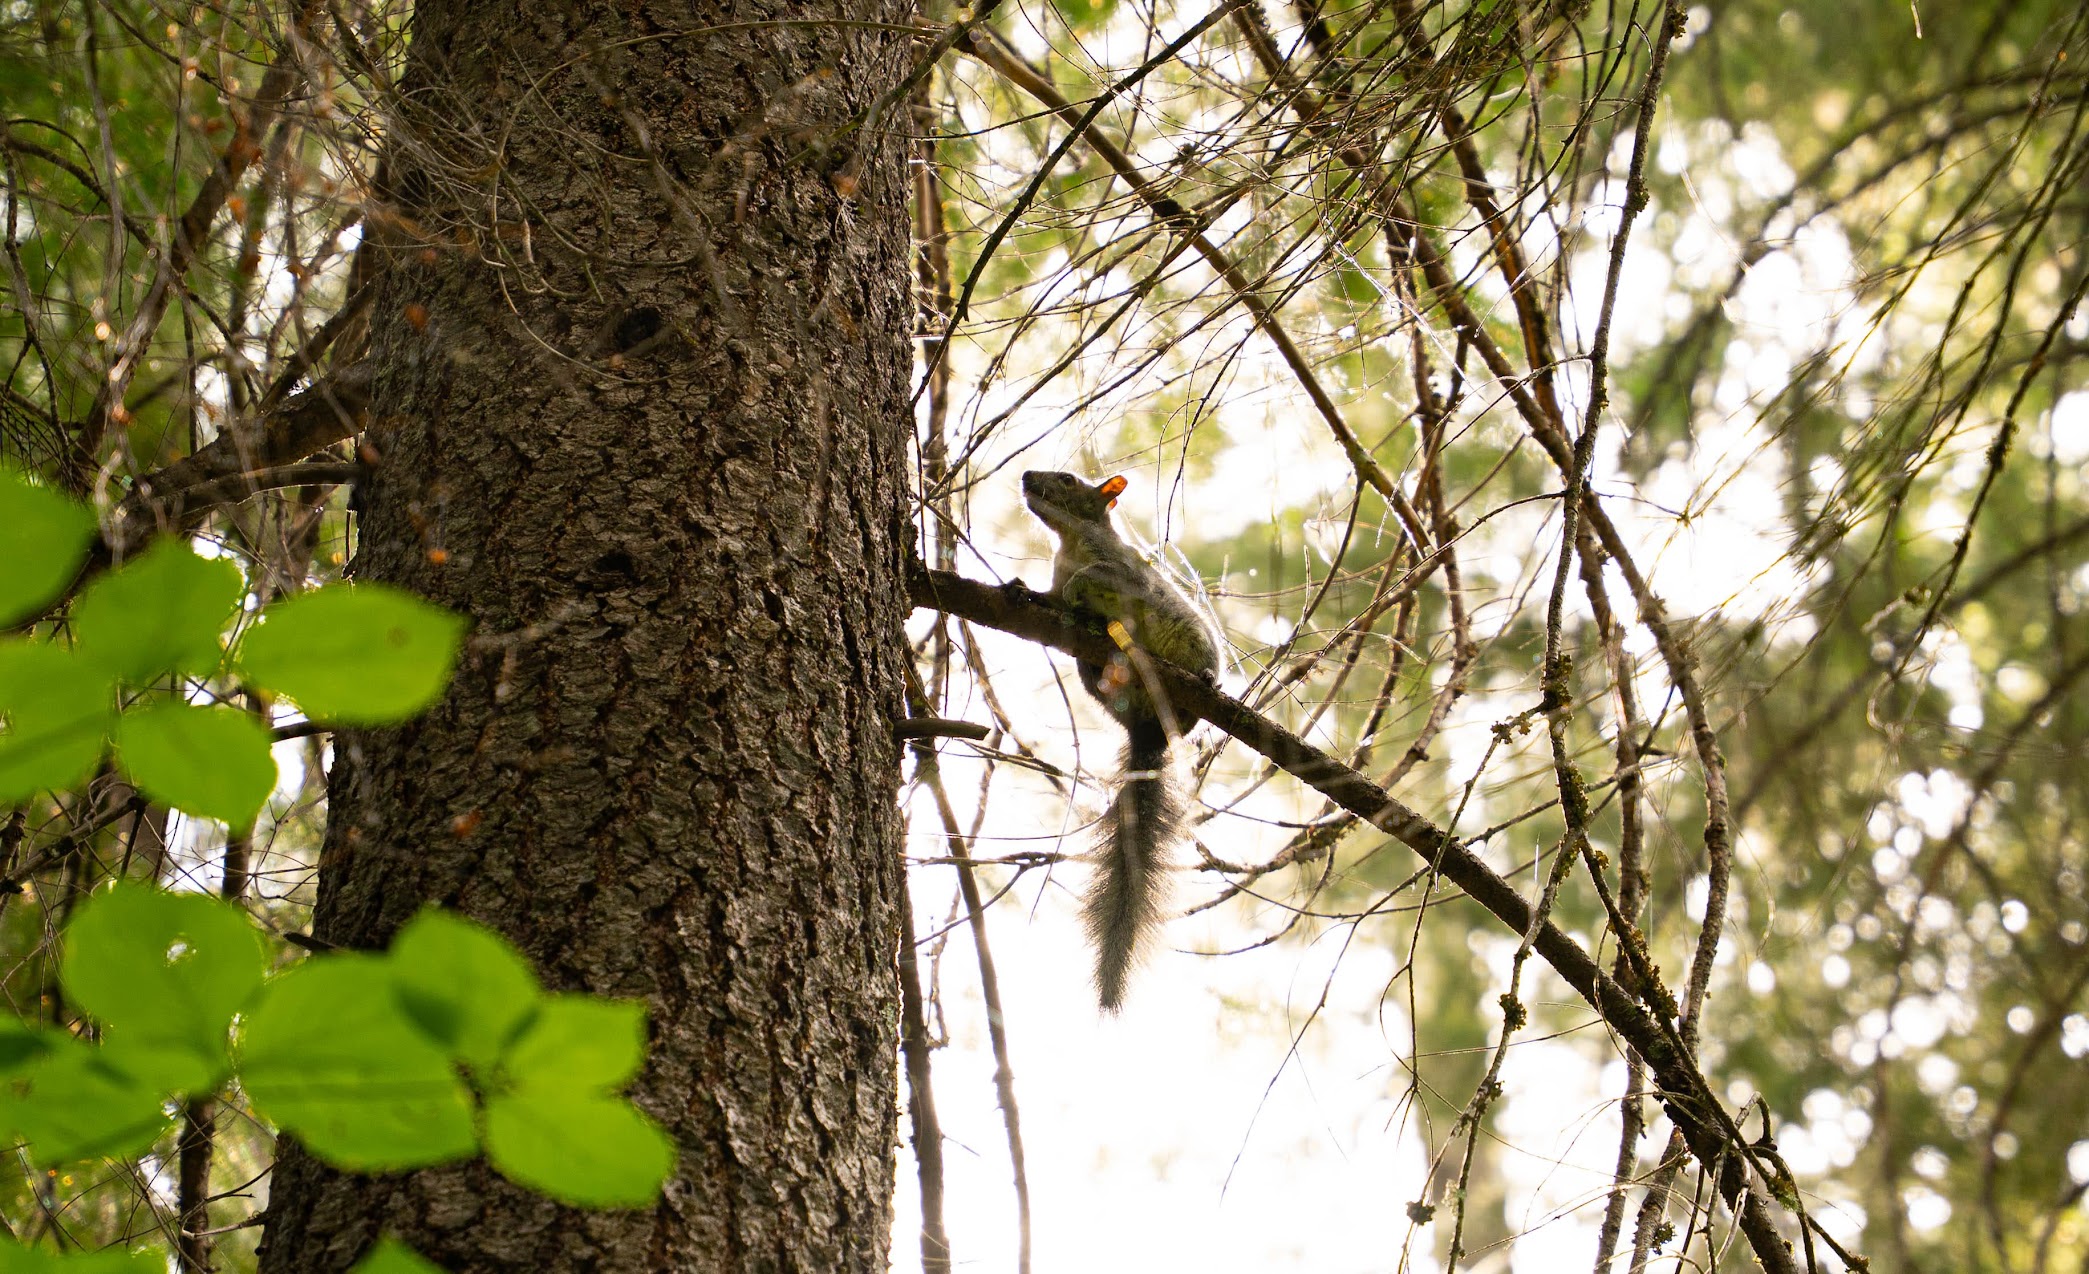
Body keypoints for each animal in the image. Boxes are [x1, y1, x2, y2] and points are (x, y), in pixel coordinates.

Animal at [1022, 470, 1221, 1012]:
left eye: (1068, 479)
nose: (1026, 476)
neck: (1069, 542)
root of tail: (1149, 728)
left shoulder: (1124, 571)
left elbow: (1100, 579)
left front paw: (1078, 590)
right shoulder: (1057, 580)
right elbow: (1052, 596)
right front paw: (1023, 590)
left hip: (1192, 647)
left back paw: (1203, 678)